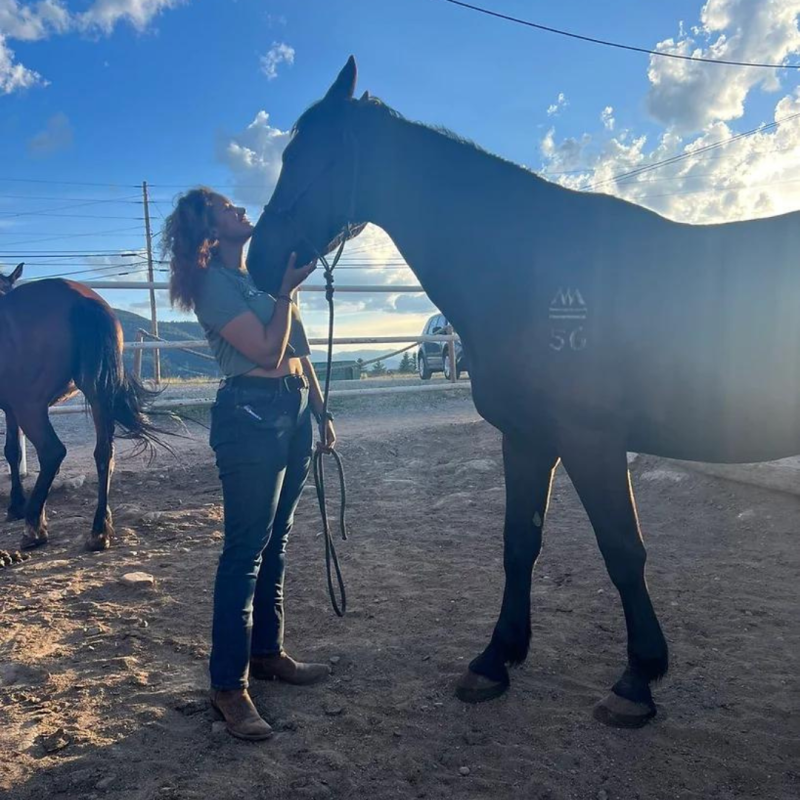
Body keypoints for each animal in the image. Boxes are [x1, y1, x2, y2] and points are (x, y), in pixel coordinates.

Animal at [0, 266, 164, 552]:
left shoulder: (16, 407)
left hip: (31, 406)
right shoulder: (10, 410)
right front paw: (15, 505)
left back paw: (34, 528)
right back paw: (99, 529)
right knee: (104, 453)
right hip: (97, 393)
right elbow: (12, 451)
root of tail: (82, 299)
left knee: (52, 452)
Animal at [247, 57, 800, 732]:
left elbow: (623, 551)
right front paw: (496, 659)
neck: (535, 274)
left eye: (311, 157)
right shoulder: (528, 438)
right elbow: (519, 544)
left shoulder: (593, 441)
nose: (258, 260)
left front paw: (638, 678)